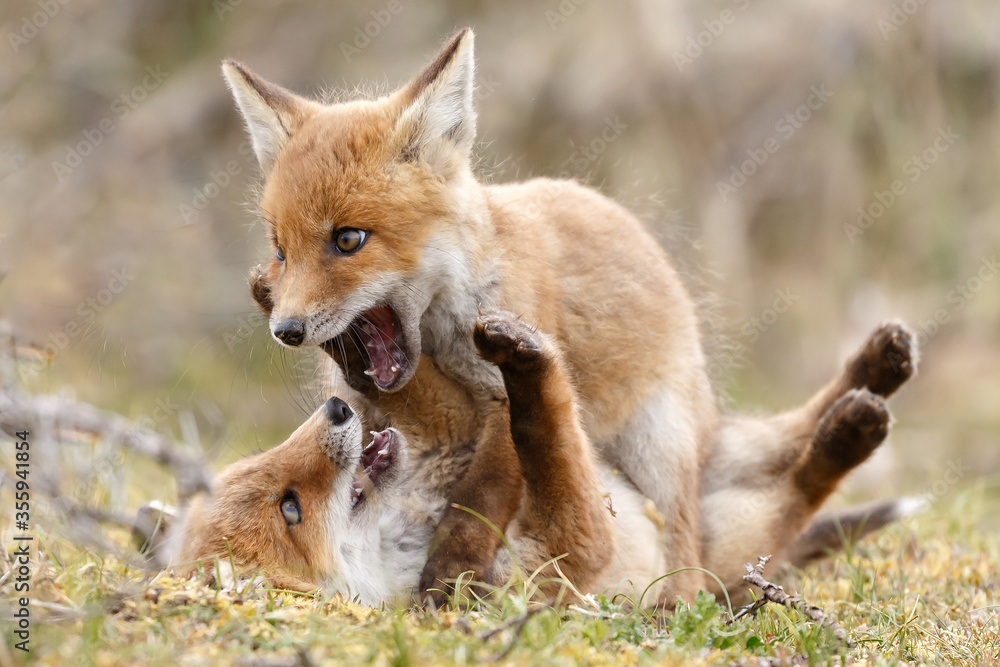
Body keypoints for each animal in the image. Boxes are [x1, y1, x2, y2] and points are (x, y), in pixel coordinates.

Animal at [138, 312, 919, 606]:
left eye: (255, 467)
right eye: (290, 509)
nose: (338, 411)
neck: (413, 520)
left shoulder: (447, 431)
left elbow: (488, 414)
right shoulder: (562, 553)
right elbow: (546, 432)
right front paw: (530, 367)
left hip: (711, 460)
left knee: (794, 430)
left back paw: (878, 366)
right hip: (717, 545)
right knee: (802, 488)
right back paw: (854, 432)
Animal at [221, 28, 719, 605]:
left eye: (348, 240)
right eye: (281, 250)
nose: (286, 330)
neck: (441, 341)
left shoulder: (498, 397)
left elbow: (478, 501)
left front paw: (449, 574)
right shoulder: (376, 410)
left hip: (660, 450)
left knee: (684, 558)